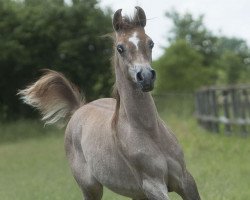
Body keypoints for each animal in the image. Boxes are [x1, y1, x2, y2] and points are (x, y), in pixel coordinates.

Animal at [18, 6, 200, 200]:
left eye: (150, 43)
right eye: (120, 48)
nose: (146, 77)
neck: (150, 132)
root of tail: (79, 109)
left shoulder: (185, 180)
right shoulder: (154, 186)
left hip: (136, 194)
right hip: (91, 189)